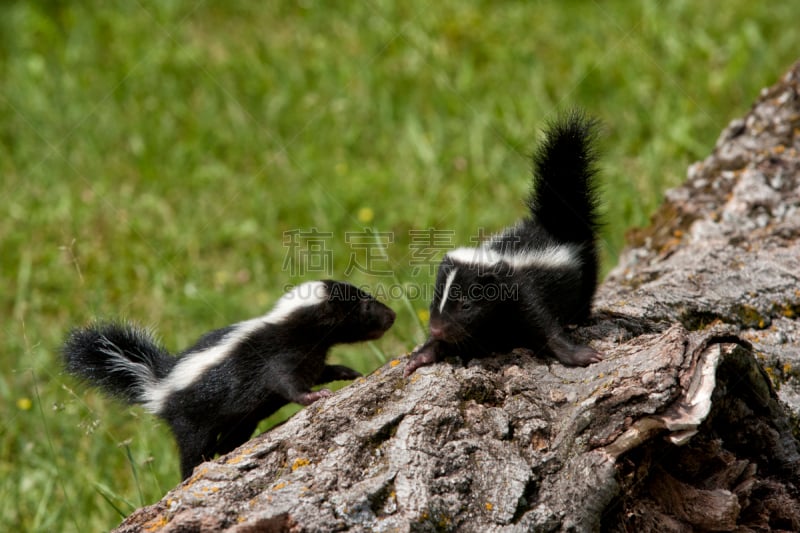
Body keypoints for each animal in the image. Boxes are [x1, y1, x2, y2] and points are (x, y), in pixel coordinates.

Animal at [64, 280, 396, 480]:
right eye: (365, 305)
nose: (391, 315)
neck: (294, 328)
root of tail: (158, 384)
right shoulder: (277, 359)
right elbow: (288, 384)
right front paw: (315, 396)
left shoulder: (309, 357)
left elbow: (321, 370)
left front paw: (346, 372)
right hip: (192, 418)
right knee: (192, 451)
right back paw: (192, 473)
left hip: (239, 420)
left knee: (229, 439)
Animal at [410, 110, 604, 376]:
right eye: (434, 301)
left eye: (466, 305)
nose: (436, 328)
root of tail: (555, 221)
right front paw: (421, 355)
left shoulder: (522, 291)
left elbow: (546, 327)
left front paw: (581, 355)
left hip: (585, 268)